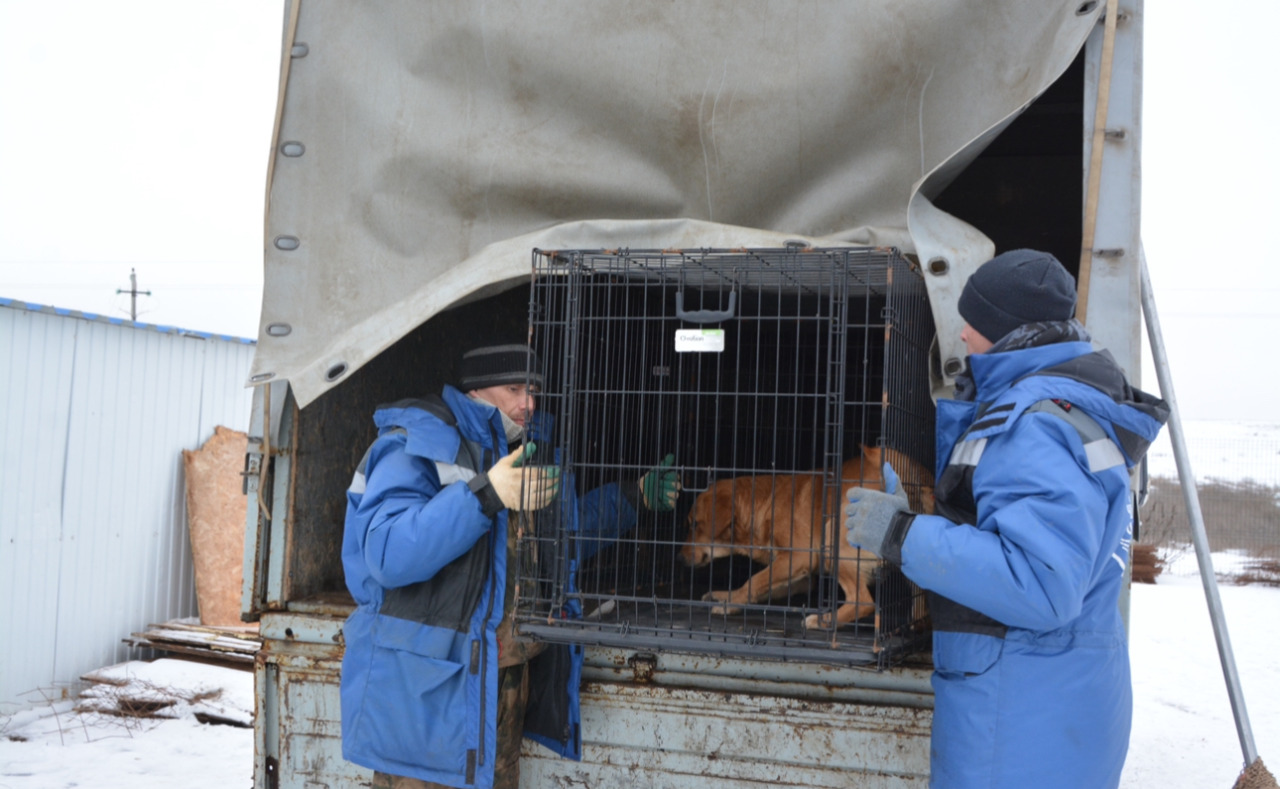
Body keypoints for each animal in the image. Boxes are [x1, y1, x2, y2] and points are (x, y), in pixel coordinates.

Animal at [675, 450, 936, 627]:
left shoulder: (798, 558)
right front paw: (727, 597)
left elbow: (754, 581)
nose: (679, 558)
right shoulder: (801, 575)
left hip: (833, 538)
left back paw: (823, 621)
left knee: (863, 601)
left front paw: (729, 603)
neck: (765, 504)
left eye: (694, 524)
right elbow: (761, 587)